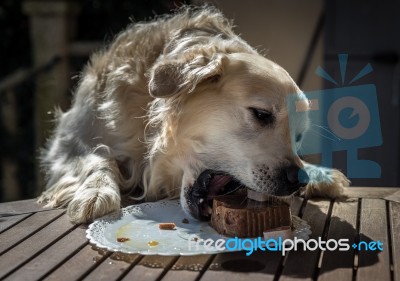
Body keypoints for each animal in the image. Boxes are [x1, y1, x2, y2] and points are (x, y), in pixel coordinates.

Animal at [38, 6, 350, 223]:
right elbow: (98, 155)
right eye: (262, 114)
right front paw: (97, 192)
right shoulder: (67, 144)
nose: (299, 180)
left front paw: (317, 171)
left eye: (298, 137)